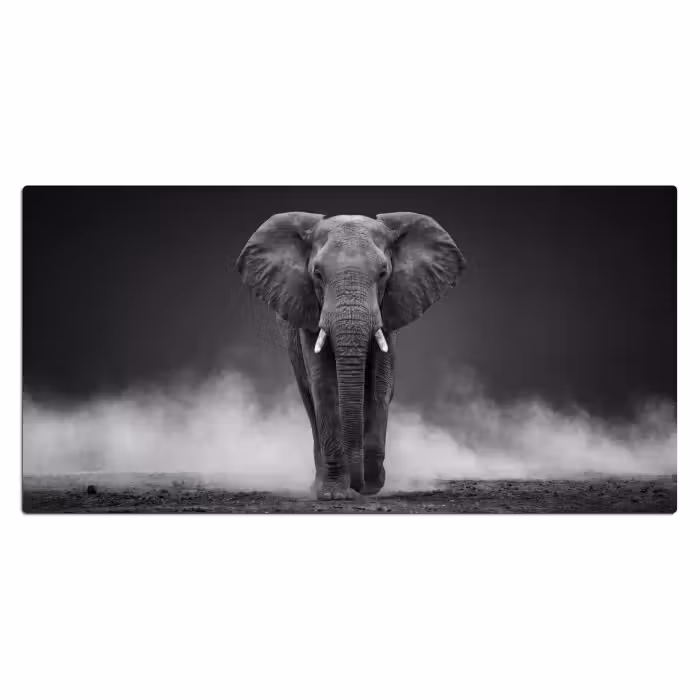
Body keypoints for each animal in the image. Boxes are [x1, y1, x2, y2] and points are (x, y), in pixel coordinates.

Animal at [236, 212, 465, 499]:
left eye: (383, 273)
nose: (359, 485)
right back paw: (319, 484)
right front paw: (334, 494)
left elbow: (380, 384)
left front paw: (372, 485)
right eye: (317, 274)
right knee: (309, 398)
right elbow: (324, 385)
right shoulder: (308, 310)